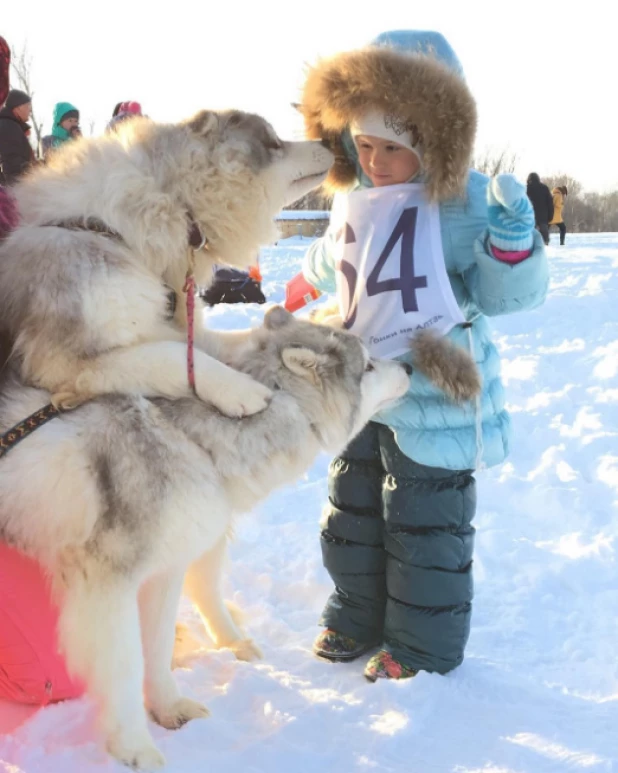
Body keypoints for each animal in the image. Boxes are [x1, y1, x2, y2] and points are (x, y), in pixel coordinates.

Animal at [0, 306, 410, 764]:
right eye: (368, 365)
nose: (410, 366)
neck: (192, 439)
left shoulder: (166, 571)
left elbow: (157, 648)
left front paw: (169, 708)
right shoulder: (107, 588)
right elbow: (125, 667)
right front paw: (134, 747)